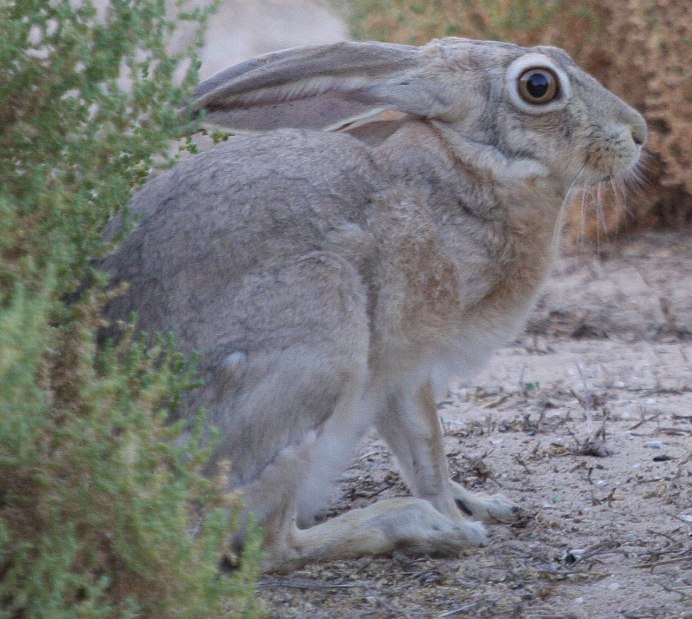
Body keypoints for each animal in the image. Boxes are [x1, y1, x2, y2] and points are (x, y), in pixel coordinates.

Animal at [101, 37, 646, 571]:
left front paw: (482, 503)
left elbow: (414, 453)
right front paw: (458, 520)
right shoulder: (410, 357)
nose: (638, 132)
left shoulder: (384, 382)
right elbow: (428, 447)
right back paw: (416, 525)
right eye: (538, 85)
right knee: (268, 545)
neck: (472, 164)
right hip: (321, 331)